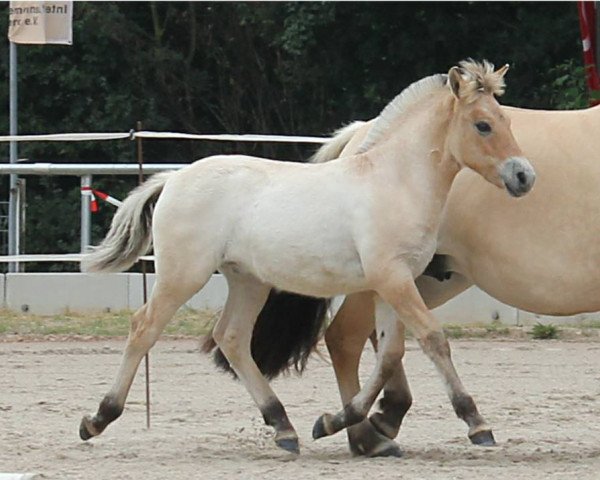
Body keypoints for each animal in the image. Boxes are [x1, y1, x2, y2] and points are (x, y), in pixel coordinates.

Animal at [78, 60, 536, 458]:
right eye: (483, 124)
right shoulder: (392, 279)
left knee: (232, 338)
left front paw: (334, 421)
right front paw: (476, 423)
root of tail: (173, 179)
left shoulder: (392, 283)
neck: (394, 181)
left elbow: (390, 355)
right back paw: (97, 419)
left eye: (507, 120)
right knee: (144, 329)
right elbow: (433, 340)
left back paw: (283, 427)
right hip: (182, 275)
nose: (524, 176)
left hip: (247, 280)